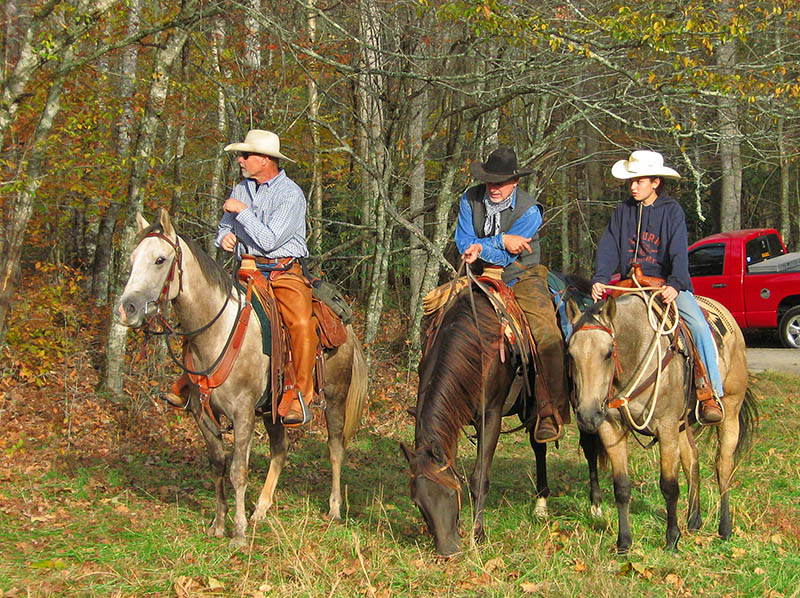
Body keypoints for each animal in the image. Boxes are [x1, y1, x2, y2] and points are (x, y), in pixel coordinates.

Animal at [116, 210, 368, 548]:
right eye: (131, 259)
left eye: (160, 259)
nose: (126, 309)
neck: (218, 331)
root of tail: (347, 326)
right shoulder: (203, 415)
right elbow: (218, 464)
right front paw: (219, 524)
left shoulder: (243, 412)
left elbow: (238, 470)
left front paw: (237, 533)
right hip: (274, 410)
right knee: (280, 449)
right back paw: (261, 508)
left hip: (335, 399)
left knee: (336, 449)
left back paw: (334, 509)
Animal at [400, 278, 600, 560]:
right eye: (418, 502)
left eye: (451, 493)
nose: (448, 551)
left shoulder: (491, 417)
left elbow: (479, 478)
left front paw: (478, 535)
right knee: (539, 446)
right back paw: (541, 504)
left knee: (590, 447)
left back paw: (596, 506)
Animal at [568, 292, 756, 556]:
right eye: (570, 353)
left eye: (608, 352)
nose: (586, 415)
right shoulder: (611, 428)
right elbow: (621, 486)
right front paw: (624, 542)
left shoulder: (665, 427)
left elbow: (669, 486)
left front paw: (672, 539)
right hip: (682, 424)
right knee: (692, 460)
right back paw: (694, 520)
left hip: (729, 411)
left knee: (723, 467)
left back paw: (725, 528)